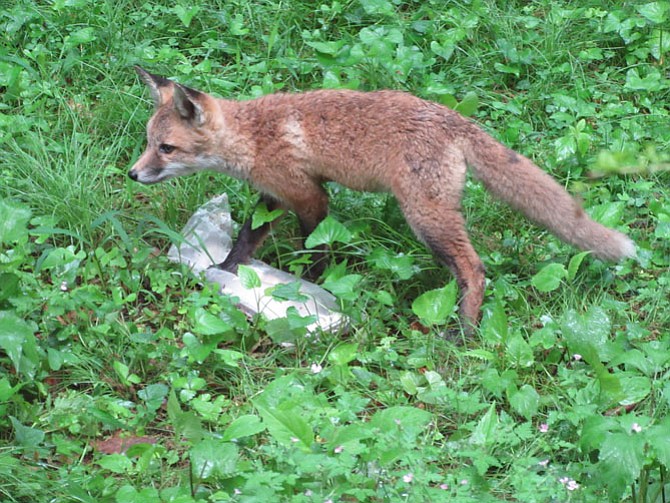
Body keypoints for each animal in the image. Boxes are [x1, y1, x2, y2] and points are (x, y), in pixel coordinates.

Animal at [129, 67, 636, 330]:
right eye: (148, 142)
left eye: (166, 149)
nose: (133, 173)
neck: (252, 138)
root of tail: (455, 119)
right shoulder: (273, 196)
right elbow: (245, 242)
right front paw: (225, 270)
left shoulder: (309, 197)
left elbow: (315, 250)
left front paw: (313, 290)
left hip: (426, 218)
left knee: (474, 269)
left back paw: (464, 332)